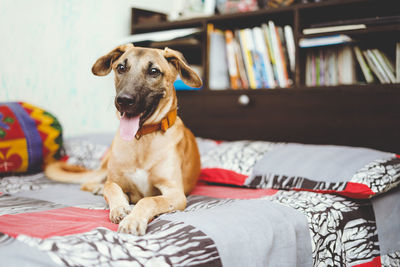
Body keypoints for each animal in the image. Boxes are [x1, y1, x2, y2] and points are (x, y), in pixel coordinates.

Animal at [45, 45, 202, 236]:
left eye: (154, 71)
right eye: (121, 68)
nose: (124, 100)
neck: (142, 139)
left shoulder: (176, 193)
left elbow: (149, 200)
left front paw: (133, 220)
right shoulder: (116, 182)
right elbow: (111, 188)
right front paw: (120, 208)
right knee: (91, 182)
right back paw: (98, 187)